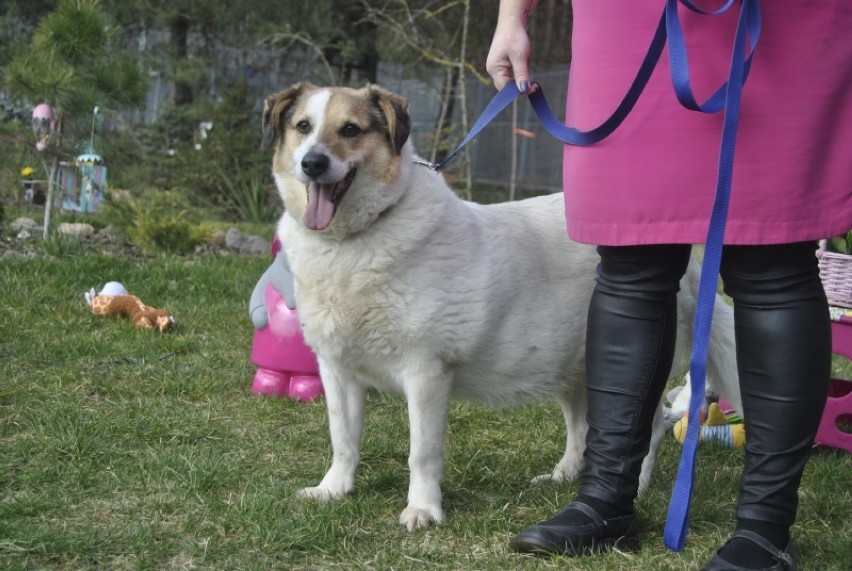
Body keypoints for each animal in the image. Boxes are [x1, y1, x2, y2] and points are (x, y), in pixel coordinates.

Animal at [260, 81, 740, 532]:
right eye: (303, 126)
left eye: (350, 130)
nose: (313, 163)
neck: (353, 242)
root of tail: (688, 266)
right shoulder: (336, 370)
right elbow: (342, 439)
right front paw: (333, 490)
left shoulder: (426, 373)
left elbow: (422, 452)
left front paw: (423, 510)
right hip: (575, 368)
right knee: (581, 427)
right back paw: (564, 477)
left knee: (652, 427)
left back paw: (634, 489)